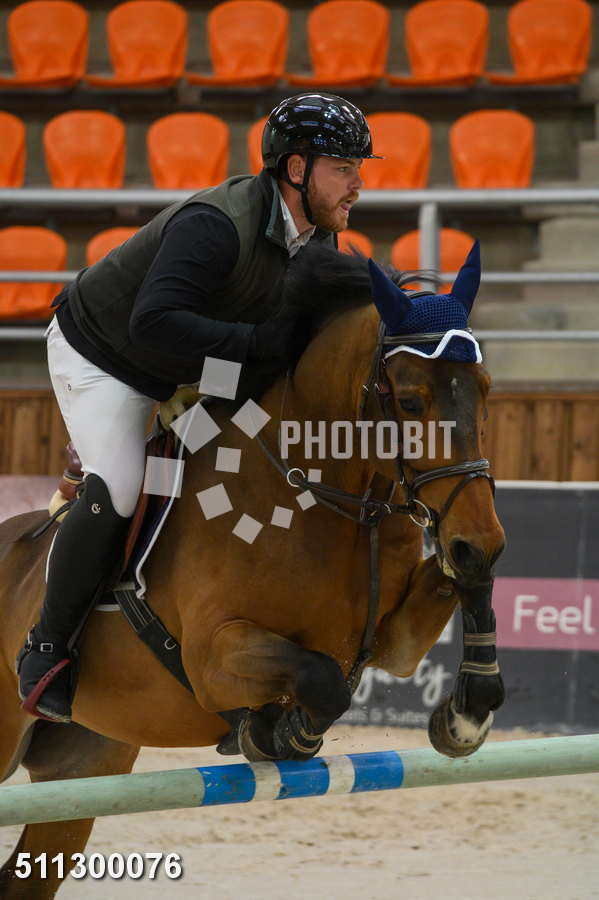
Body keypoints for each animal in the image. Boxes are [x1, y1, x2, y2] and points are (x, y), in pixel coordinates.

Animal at [0, 242, 505, 898]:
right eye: (412, 400)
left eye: (485, 390)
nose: (481, 541)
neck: (323, 498)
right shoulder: (214, 657)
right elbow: (322, 679)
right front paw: (276, 734)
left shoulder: (396, 640)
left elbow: (452, 584)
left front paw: (467, 711)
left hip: (83, 769)